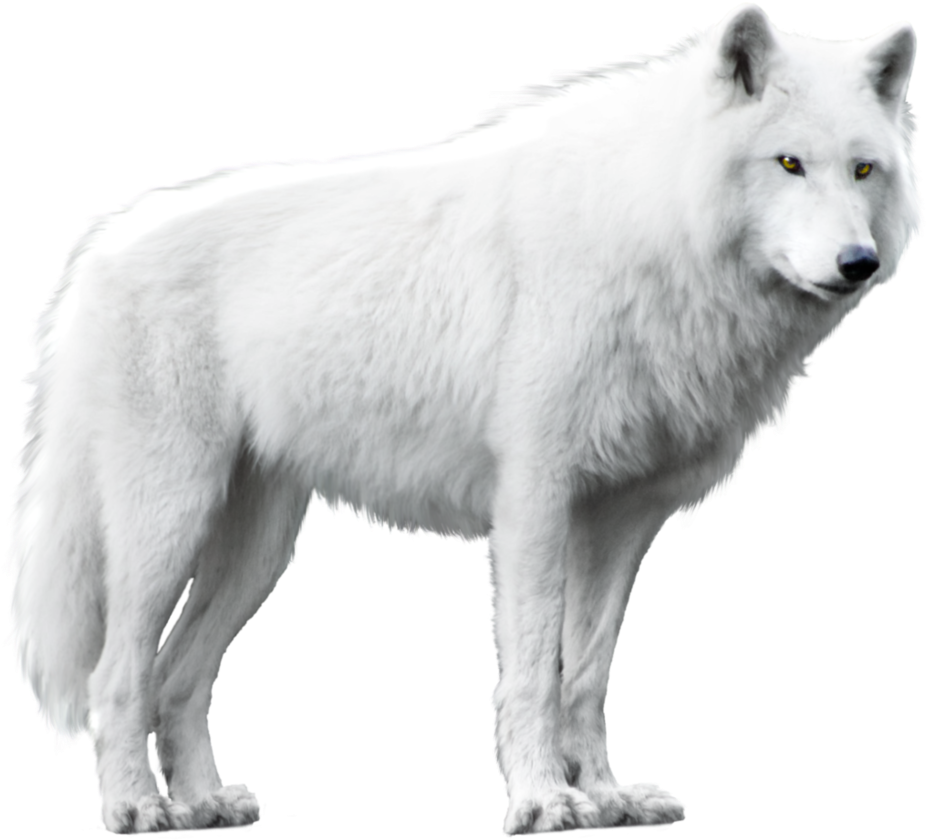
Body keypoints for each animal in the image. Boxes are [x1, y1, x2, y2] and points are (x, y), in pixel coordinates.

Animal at [5, 3, 921, 835]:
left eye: (863, 171)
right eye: (788, 162)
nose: (857, 263)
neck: (652, 229)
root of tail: (99, 249)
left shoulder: (621, 519)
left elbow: (586, 676)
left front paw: (608, 797)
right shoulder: (535, 503)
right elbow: (534, 672)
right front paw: (545, 802)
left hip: (257, 552)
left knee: (178, 676)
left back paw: (201, 805)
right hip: (169, 525)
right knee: (117, 676)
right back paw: (136, 808)